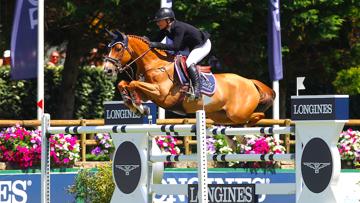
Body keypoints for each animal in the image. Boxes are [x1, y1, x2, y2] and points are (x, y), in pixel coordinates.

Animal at [102, 29, 274, 125]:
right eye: (109, 47)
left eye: (118, 48)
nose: (107, 70)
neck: (155, 64)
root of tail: (250, 82)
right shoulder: (149, 94)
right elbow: (125, 83)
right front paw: (133, 104)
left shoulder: (161, 94)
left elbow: (133, 84)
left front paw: (138, 107)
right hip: (220, 115)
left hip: (237, 113)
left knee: (258, 115)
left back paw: (249, 126)